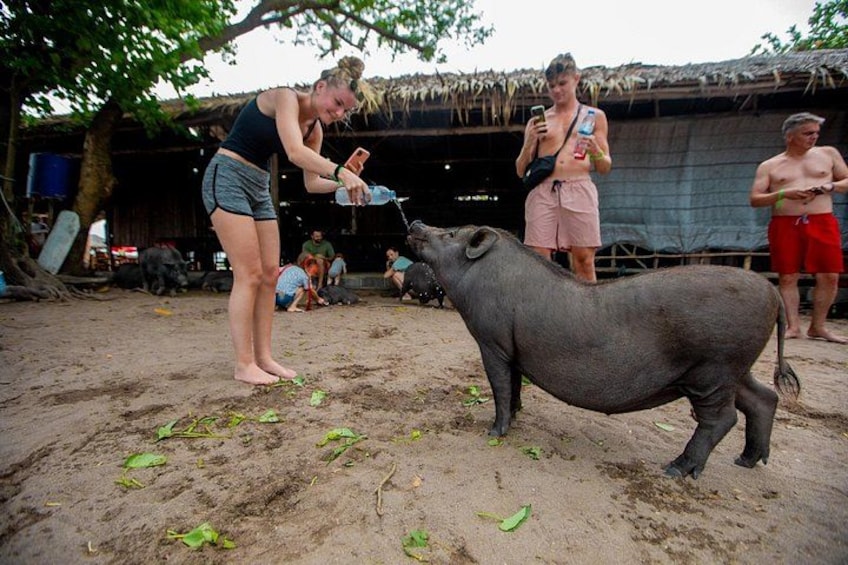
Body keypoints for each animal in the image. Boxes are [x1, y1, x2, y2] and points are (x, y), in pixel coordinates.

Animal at [407, 222, 800, 479]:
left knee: (721, 419)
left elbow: (501, 386)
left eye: (450, 234)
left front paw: (494, 433)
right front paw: (517, 417)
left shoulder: (492, 341)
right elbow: (516, 385)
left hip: (714, 368)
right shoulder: (513, 349)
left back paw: (676, 470)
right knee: (763, 398)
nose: (416, 222)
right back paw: (747, 461)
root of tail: (772, 293)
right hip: (735, 369)